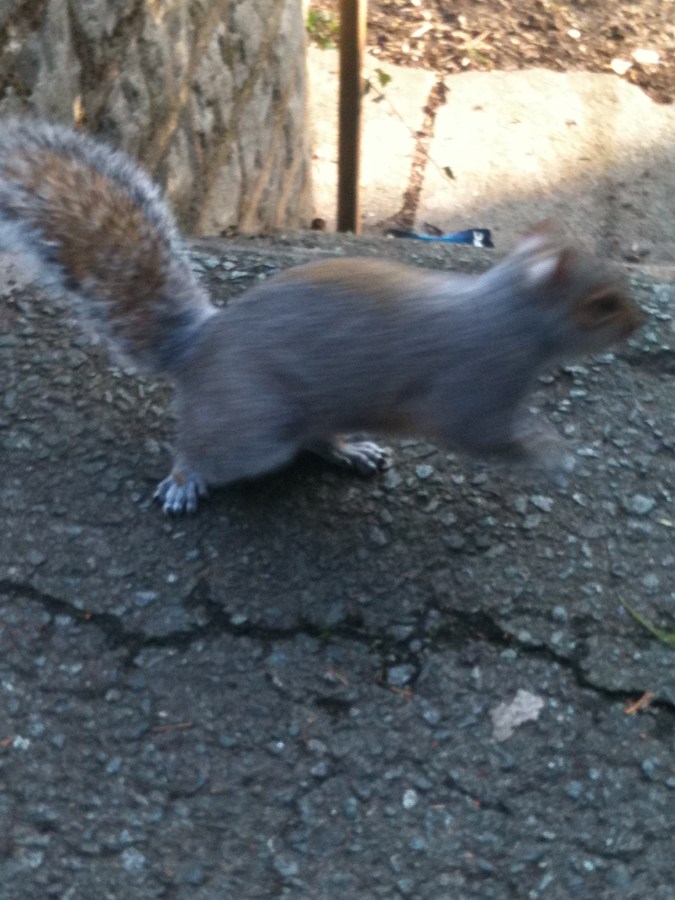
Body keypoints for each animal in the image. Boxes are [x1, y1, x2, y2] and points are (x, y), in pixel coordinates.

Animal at [0, 118, 643, 513]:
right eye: (601, 305)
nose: (638, 325)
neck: (507, 314)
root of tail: (197, 348)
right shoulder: (473, 386)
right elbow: (483, 436)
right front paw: (550, 453)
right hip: (252, 427)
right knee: (203, 451)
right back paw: (185, 482)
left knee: (314, 440)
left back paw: (351, 452)